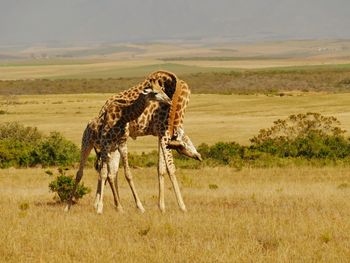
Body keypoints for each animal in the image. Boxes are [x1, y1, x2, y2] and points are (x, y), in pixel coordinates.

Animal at [65, 76, 172, 214]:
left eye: (162, 89)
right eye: (155, 92)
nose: (169, 100)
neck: (123, 117)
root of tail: (88, 125)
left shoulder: (121, 144)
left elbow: (127, 174)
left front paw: (140, 206)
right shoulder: (105, 143)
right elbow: (105, 174)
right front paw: (100, 208)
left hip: (110, 150)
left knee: (109, 174)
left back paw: (118, 206)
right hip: (87, 144)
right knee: (80, 173)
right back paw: (67, 207)